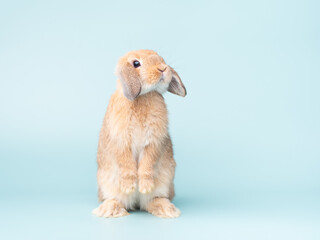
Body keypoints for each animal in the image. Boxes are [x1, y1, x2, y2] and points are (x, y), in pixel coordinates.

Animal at [91, 49, 186, 218]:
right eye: (136, 63)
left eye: (162, 59)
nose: (163, 68)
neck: (143, 96)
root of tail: (135, 202)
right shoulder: (121, 140)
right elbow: (127, 165)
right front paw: (129, 186)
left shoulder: (153, 142)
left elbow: (147, 164)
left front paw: (145, 186)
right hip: (107, 184)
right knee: (117, 199)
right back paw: (110, 209)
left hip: (164, 182)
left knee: (152, 200)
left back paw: (167, 210)